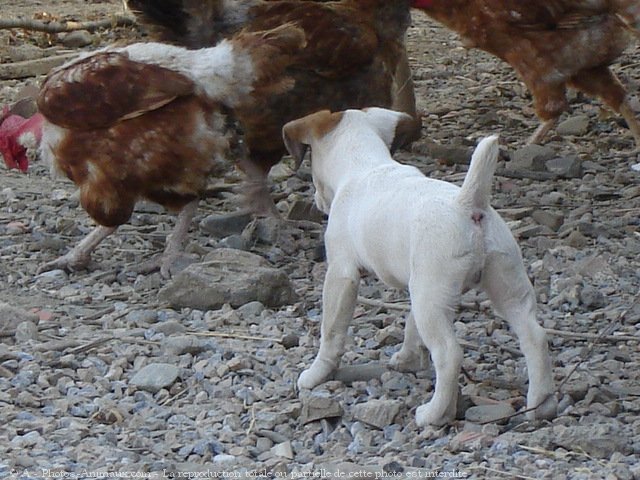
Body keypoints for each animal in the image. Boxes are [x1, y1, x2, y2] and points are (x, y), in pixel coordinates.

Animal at [282, 107, 556, 426]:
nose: (317, 201)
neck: (364, 165)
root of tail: (467, 206)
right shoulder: (413, 283)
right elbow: (411, 327)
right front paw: (408, 359)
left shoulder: (341, 275)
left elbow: (331, 332)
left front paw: (315, 374)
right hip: (504, 288)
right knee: (534, 337)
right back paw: (540, 404)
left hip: (432, 299)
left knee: (449, 354)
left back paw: (434, 413)